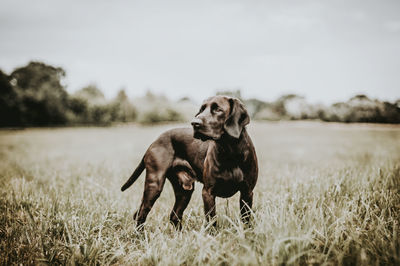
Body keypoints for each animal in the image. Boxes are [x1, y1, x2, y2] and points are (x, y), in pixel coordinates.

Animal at [122, 95, 258, 229]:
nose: (194, 123)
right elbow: (212, 221)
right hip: (155, 184)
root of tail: (155, 141)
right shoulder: (208, 192)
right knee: (141, 213)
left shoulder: (247, 192)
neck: (230, 152)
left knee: (173, 215)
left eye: (218, 109)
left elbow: (246, 219)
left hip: (184, 191)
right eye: (202, 109)